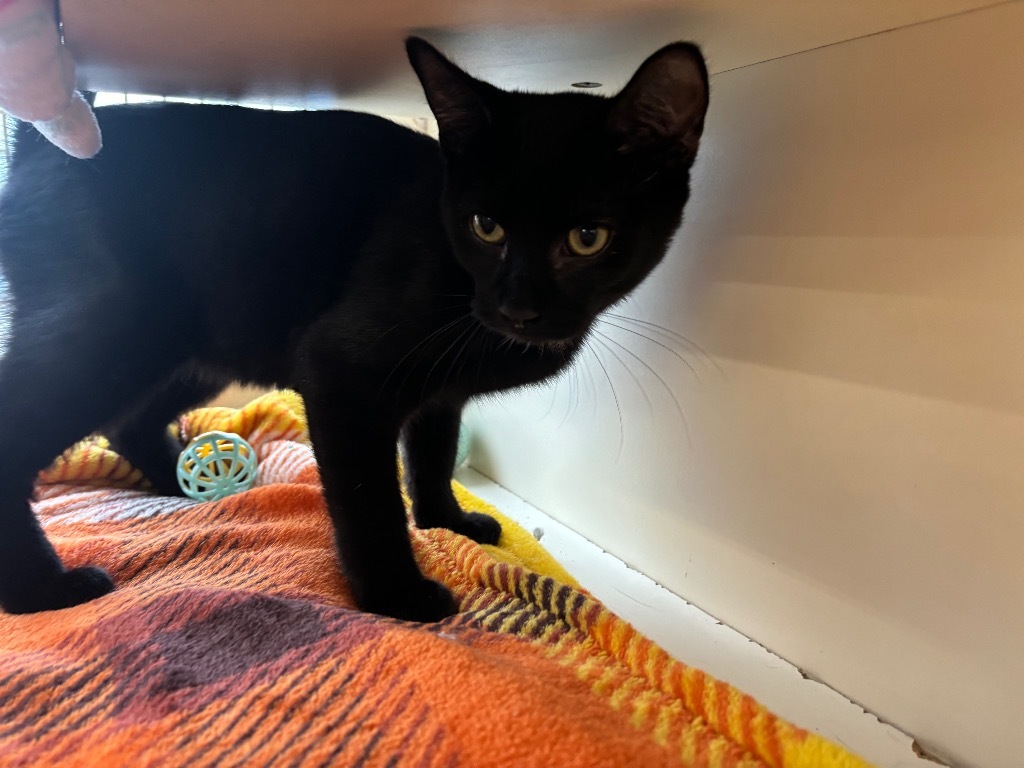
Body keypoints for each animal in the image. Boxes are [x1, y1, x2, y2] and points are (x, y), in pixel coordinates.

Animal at [0, 37, 704, 626]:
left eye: (588, 238)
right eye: (486, 226)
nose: (518, 307)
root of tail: (38, 146)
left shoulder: (440, 392)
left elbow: (432, 456)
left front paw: (446, 522)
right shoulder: (341, 375)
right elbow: (370, 500)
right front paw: (397, 595)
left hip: (197, 348)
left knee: (129, 421)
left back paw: (186, 485)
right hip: (113, 333)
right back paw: (41, 590)